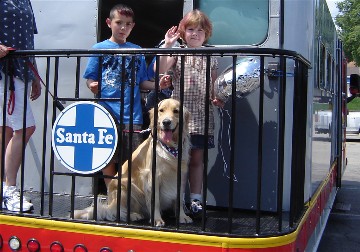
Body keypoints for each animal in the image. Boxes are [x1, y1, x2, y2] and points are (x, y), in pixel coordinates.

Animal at [74, 98, 193, 226]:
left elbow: (179, 200)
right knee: (119, 211)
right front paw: (157, 219)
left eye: (176, 111)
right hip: (125, 187)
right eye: (161, 110)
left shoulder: (180, 176)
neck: (170, 147)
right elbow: (154, 201)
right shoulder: (152, 177)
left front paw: (182, 216)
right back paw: (133, 215)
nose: (166, 122)